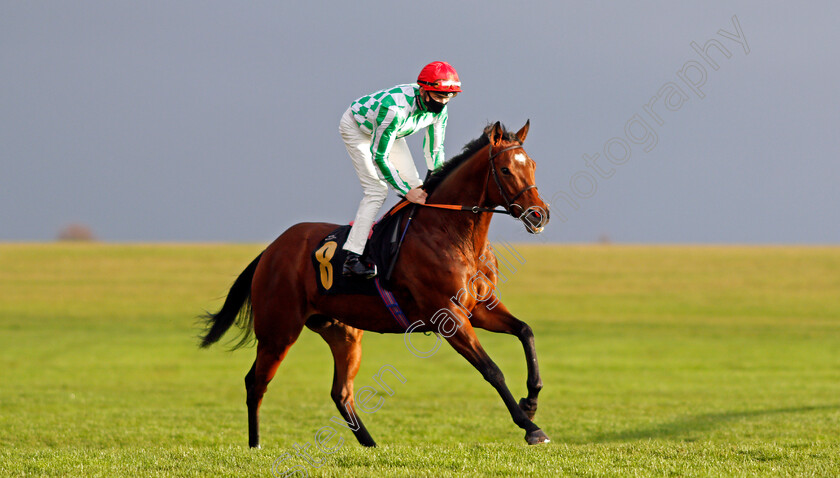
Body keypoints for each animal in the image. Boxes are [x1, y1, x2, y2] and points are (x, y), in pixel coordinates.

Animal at [198, 119, 552, 448]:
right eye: (505, 169)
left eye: (533, 165)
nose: (539, 214)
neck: (451, 232)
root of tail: (271, 249)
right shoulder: (449, 316)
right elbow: (492, 370)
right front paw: (531, 428)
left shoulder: (478, 308)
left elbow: (526, 331)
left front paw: (531, 402)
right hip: (278, 330)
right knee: (256, 382)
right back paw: (255, 445)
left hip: (342, 333)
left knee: (341, 392)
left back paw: (370, 445)